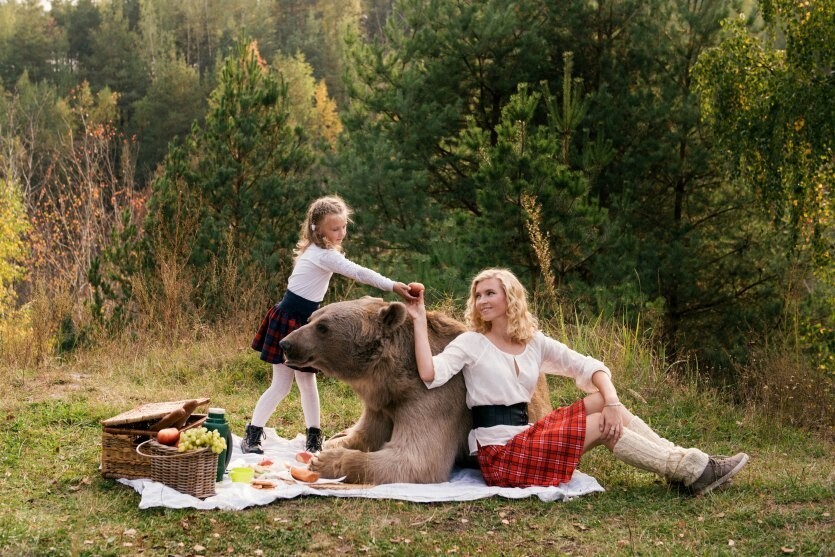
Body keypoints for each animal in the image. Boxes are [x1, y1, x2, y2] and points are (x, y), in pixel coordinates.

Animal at [280, 296, 556, 482]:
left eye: (323, 327)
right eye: (312, 319)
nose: (286, 343)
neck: (391, 377)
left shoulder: (434, 397)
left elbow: (416, 459)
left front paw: (326, 461)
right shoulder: (381, 401)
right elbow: (367, 433)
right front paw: (333, 443)